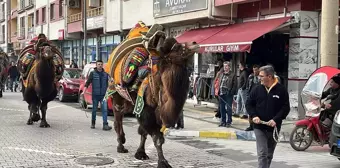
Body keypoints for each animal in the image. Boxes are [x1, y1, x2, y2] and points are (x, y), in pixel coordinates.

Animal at [105, 22, 198, 168]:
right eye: (178, 47)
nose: (194, 43)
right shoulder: (145, 108)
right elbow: (156, 137)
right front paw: (163, 162)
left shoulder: (153, 110)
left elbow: (144, 132)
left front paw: (141, 153)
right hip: (116, 94)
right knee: (118, 119)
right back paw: (121, 145)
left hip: (129, 101)